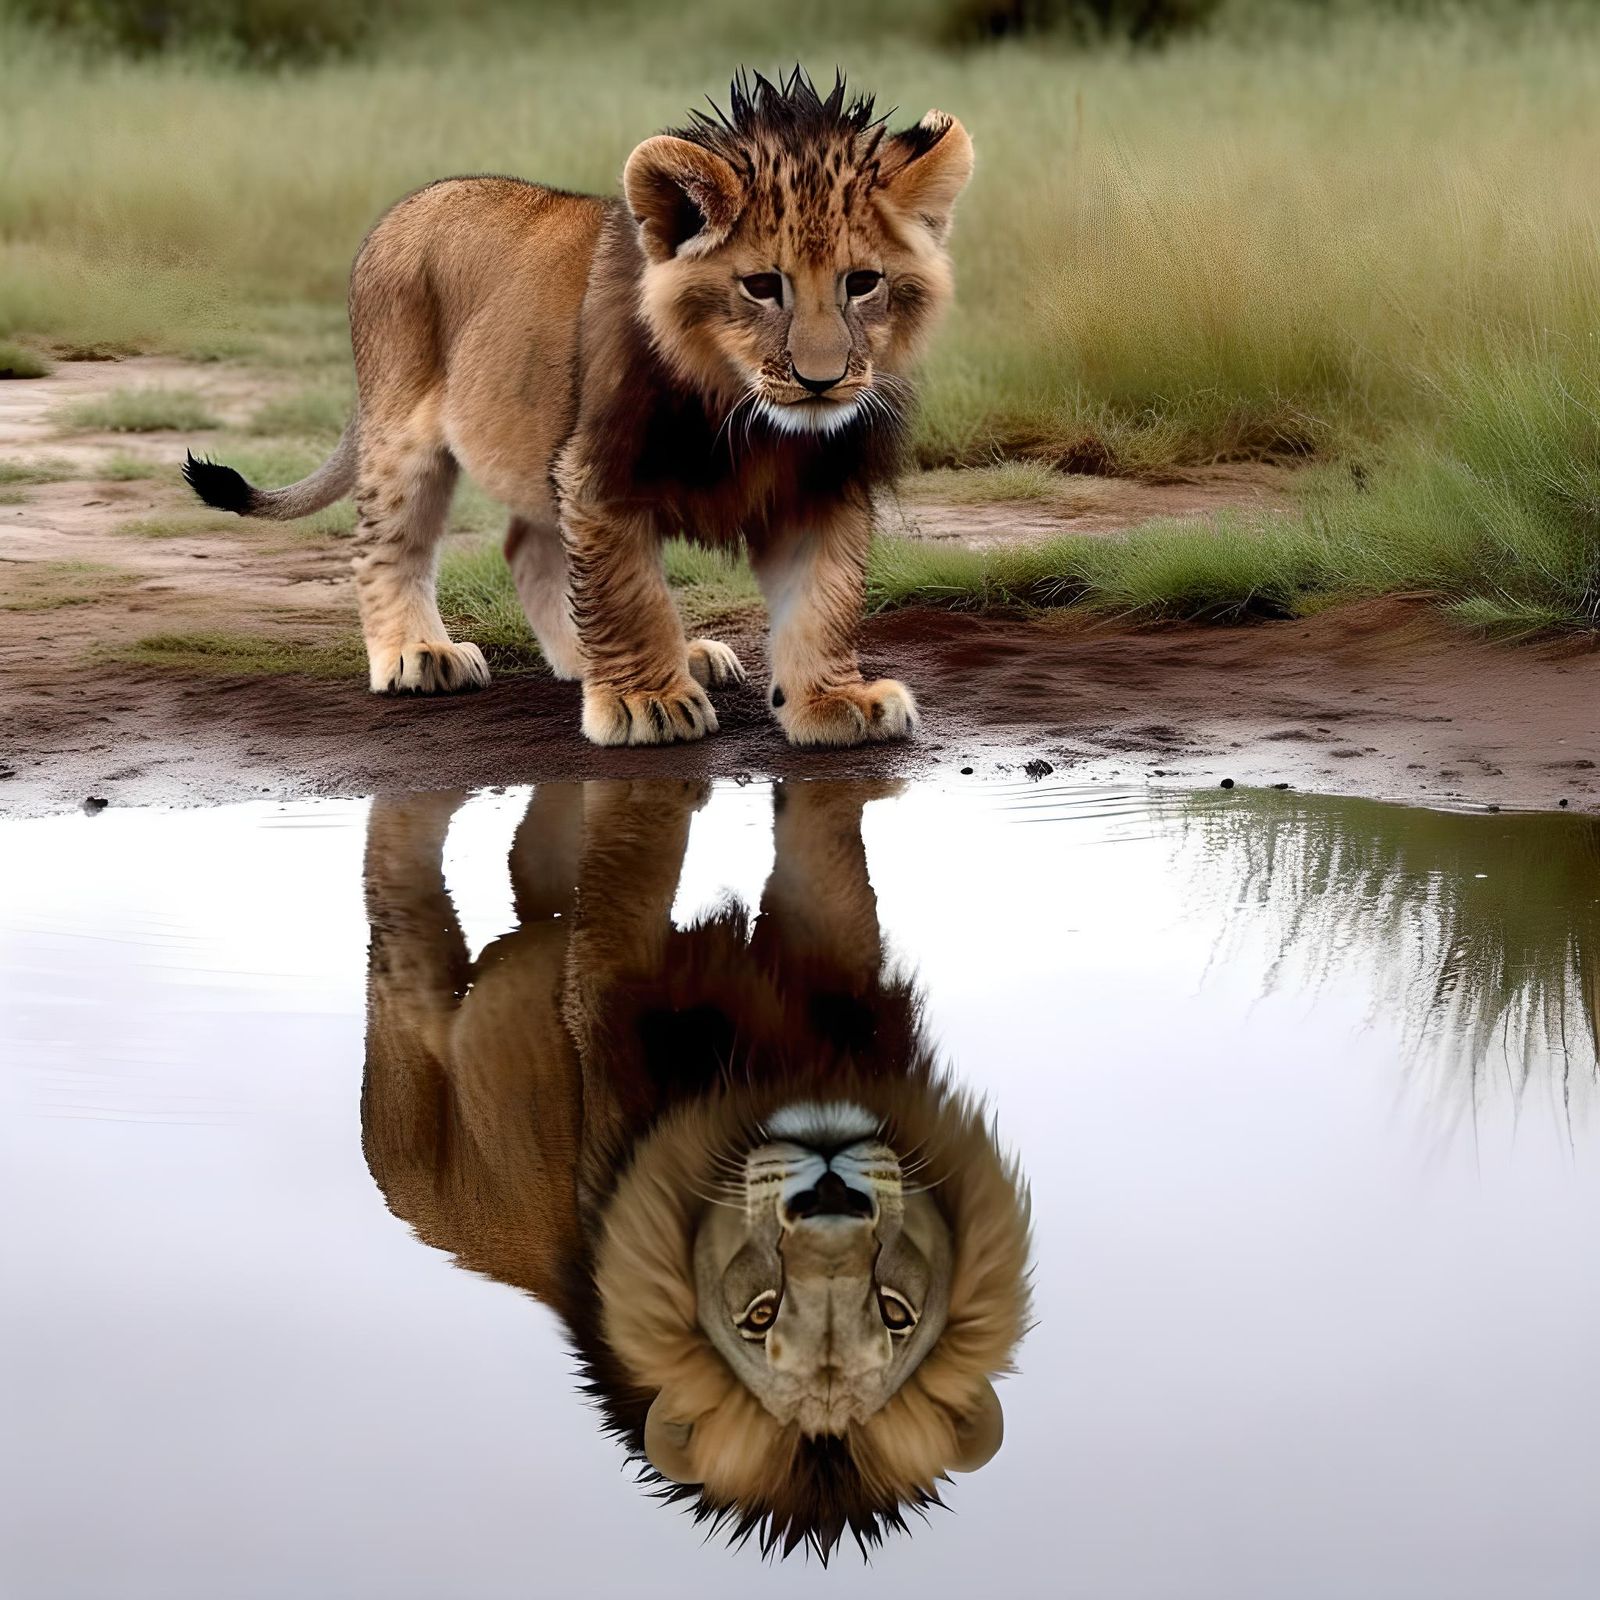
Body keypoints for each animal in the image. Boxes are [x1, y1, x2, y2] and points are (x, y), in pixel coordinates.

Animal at [184, 69, 973, 748]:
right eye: (760, 286)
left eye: (862, 283)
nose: (822, 380)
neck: (747, 414)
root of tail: (406, 204)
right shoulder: (600, 474)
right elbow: (628, 594)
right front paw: (646, 702)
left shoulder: (822, 486)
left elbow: (823, 602)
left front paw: (834, 702)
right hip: (402, 426)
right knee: (390, 545)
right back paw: (420, 655)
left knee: (528, 549)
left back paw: (610, 657)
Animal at [361, 779, 1032, 1560]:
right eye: (758, 1319)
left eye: (896, 1316)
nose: (831, 1196)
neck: (771, 1080)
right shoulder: (607, 991)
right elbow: (636, 847)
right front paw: (658, 779)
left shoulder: (830, 977)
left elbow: (825, 846)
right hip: (408, 1048)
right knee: (398, 904)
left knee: (531, 857)